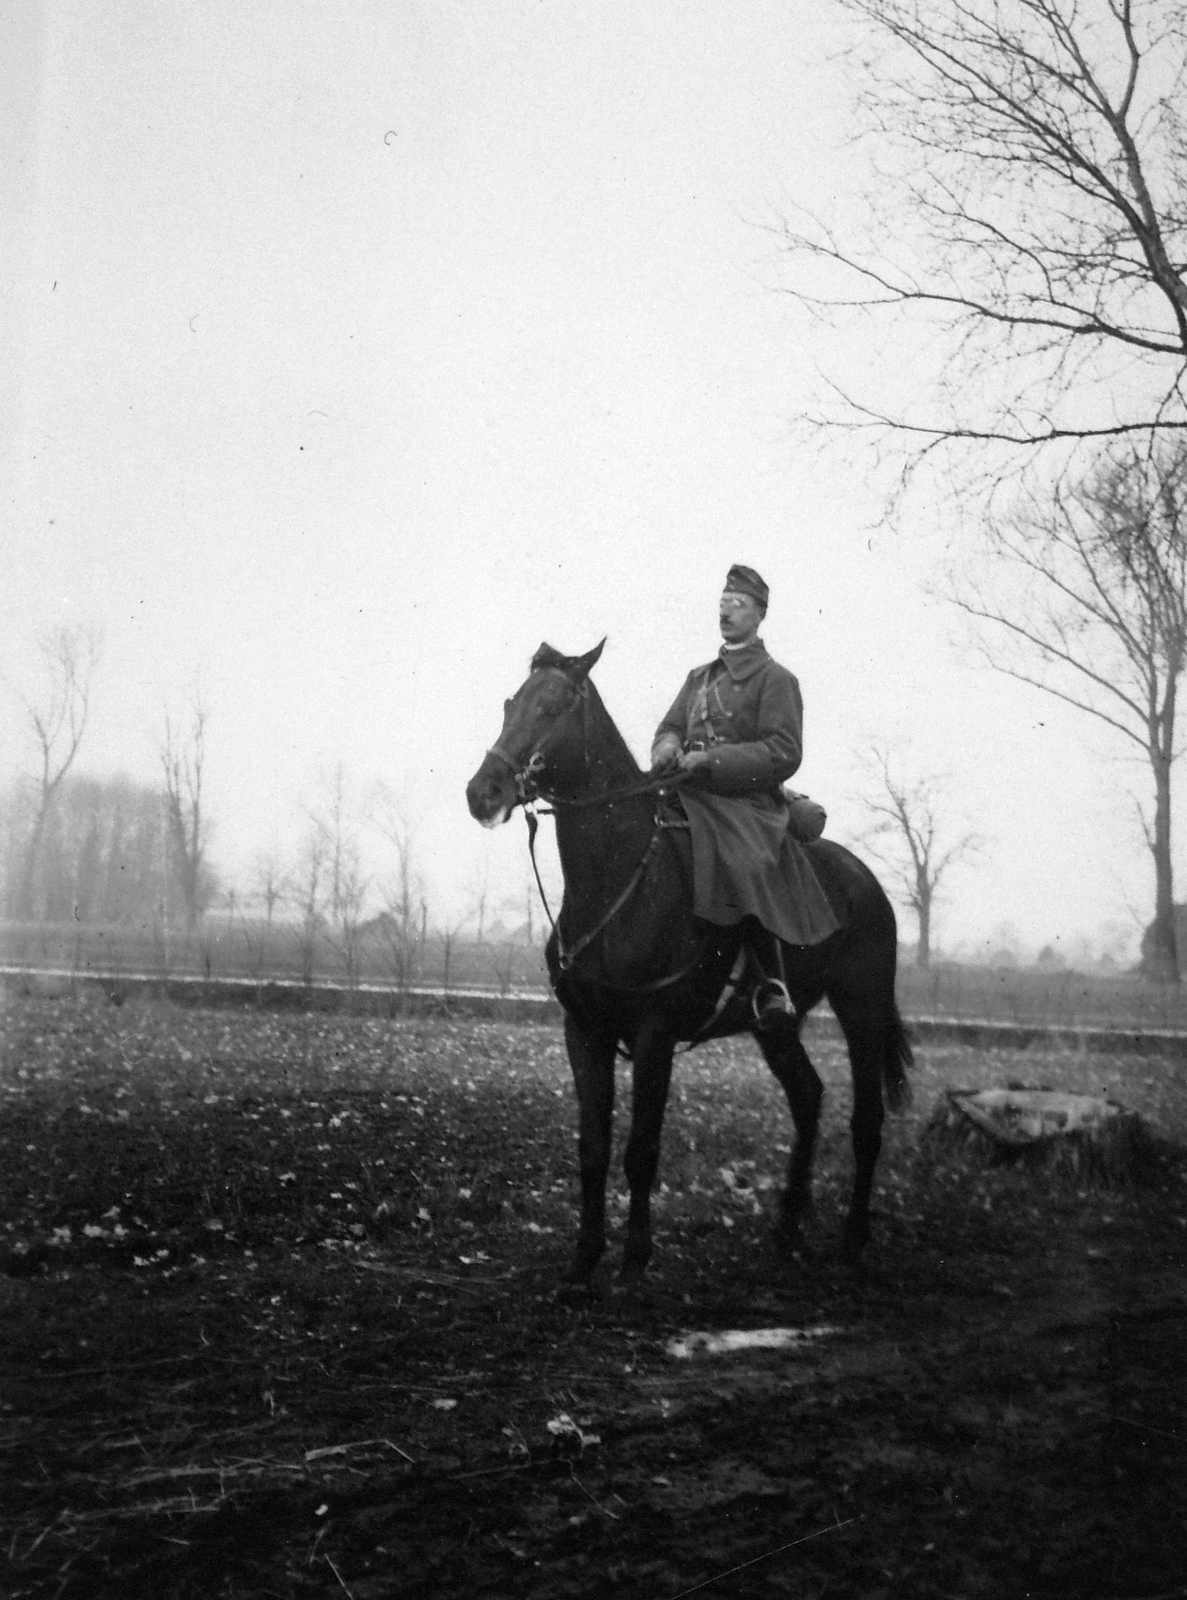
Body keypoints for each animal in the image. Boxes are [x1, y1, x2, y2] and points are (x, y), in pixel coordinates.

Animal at [463, 643, 908, 1280]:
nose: (484, 792)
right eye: (509, 704)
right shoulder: (585, 1031)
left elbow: (641, 1150)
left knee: (866, 1119)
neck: (619, 881)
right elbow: (593, 1147)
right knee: (808, 1098)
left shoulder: (654, 1035)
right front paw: (584, 1260)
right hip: (775, 1028)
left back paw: (851, 1240)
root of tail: (863, 878)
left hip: (863, 1009)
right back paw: (786, 1230)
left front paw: (634, 1262)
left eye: (551, 707)